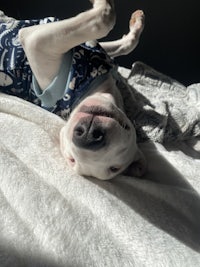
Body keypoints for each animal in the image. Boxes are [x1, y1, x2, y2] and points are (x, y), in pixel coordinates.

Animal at [0, 1, 147, 181]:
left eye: (114, 168)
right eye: (71, 159)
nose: (89, 136)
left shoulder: (35, 42)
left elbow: (102, 20)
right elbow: (116, 38)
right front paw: (136, 22)